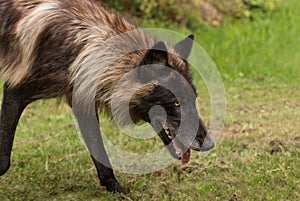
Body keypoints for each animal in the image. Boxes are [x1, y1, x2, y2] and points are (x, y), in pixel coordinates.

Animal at [0, 0, 216, 193]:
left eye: (194, 101)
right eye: (176, 103)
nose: (209, 144)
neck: (85, 50)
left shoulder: (83, 105)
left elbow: (100, 154)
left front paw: (116, 189)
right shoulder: (15, 92)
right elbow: (4, 160)